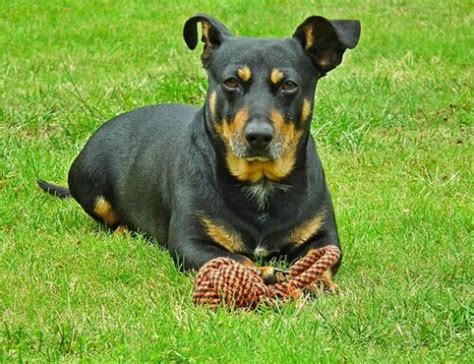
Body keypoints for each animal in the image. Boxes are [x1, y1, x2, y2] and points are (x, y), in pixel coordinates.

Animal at [39, 13, 362, 288]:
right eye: (231, 81)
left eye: (289, 85)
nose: (258, 136)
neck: (261, 183)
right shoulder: (191, 243)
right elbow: (235, 258)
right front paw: (263, 274)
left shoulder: (324, 236)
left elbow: (321, 258)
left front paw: (315, 280)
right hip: (88, 184)